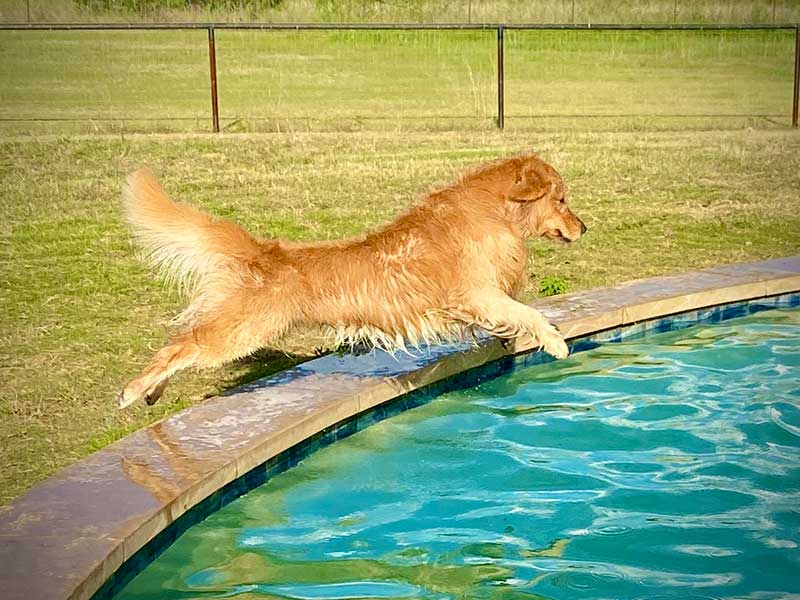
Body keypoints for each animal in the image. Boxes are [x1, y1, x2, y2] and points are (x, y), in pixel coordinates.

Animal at [120, 155, 588, 408]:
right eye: (562, 199)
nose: (583, 227)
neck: (491, 212)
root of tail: (264, 252)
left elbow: (511, 318)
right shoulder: (477, 293)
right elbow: (528, 313)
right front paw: (555, 342)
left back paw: (152, 392)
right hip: (241, 331)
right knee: (177, 347)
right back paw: (135, 390)